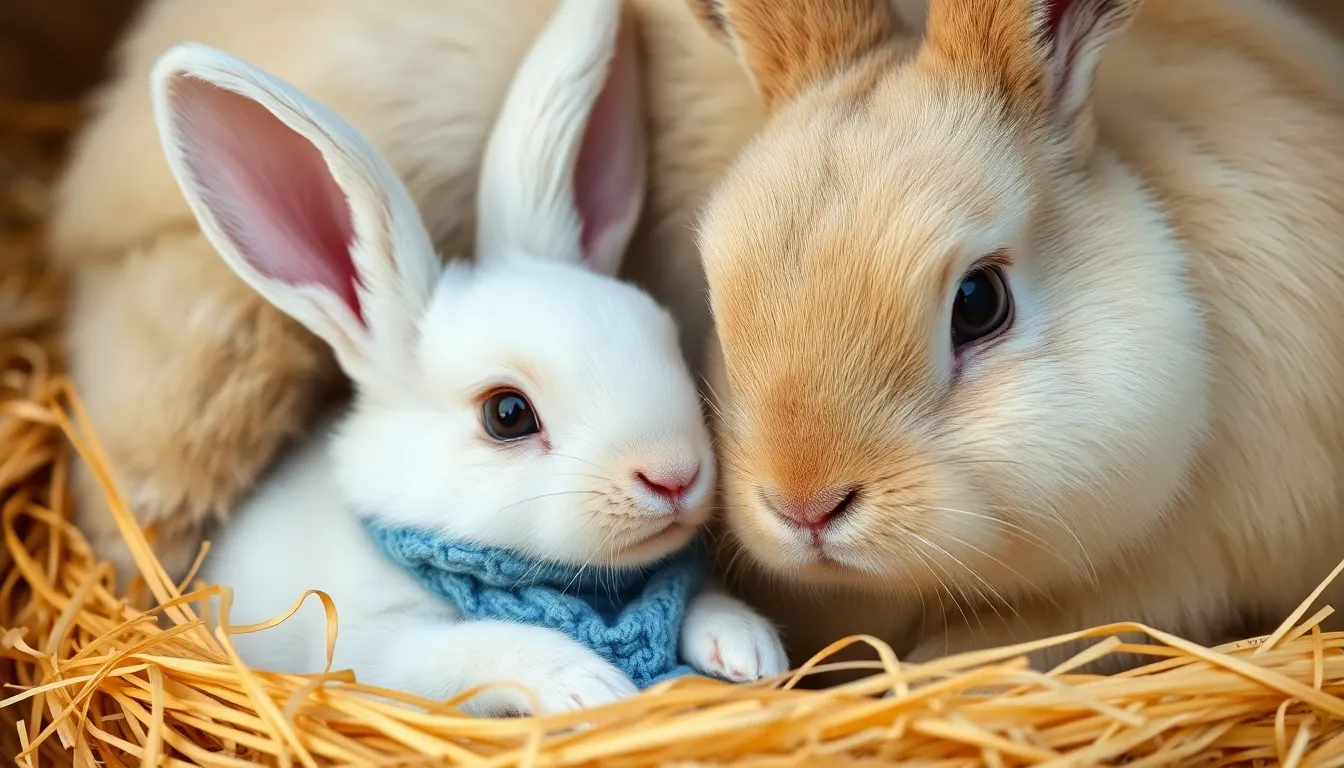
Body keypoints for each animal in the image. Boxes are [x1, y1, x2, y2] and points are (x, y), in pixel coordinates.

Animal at [152, 0, 787, 714]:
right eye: (507, 414)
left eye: (662, 337)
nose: (675, 475)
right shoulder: (381, 651)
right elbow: (481, 644)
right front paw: (588, 684)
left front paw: (749, 647)